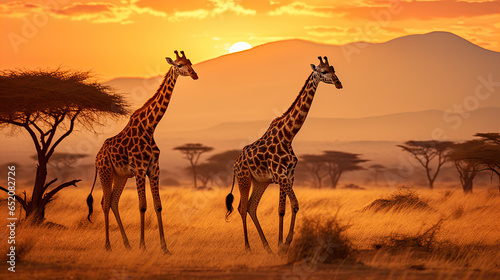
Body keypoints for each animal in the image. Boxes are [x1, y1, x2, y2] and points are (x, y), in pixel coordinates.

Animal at [86, 50, 197, 254]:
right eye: (179, 65)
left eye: (190, 63)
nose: (194, 74)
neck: (150, 127)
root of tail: (97, 156)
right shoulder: (139, 169)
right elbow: (142, 206)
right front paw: (143, 246)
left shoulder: (153, 169)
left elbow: (158, 205)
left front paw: (164, 247)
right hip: (106, 172)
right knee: (104, 203)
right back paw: (108, 245)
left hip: (120, 176)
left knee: (113, 201)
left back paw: (127, 244)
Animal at [225, 55, 342, 255]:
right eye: (323, 71)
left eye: (334, 69)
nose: (338, 83)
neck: (288, 136)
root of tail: (235, 164)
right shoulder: (281, 176)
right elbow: (294, 205)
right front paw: (286, 243)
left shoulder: (288, 175)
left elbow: (283, 209)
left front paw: (280, 245)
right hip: (244, 178)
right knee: (242, 207)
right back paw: (248, 247)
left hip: (260, 182)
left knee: (251, 207)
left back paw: (267, 248)